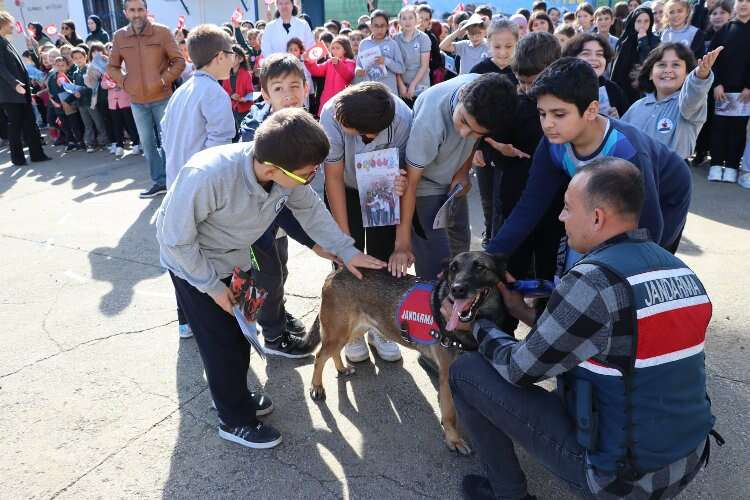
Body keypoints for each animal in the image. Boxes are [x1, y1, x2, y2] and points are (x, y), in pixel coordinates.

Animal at [306, 252, 512, 456]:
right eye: (453, 268)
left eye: (480, 267)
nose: (457, 289)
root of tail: (336, 272)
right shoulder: (447, 375)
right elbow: (450, 413)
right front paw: (453, 439)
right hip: (339, 332)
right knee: (320, 357)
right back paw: (317, 387)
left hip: (353, 330)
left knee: (333, 352)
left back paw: (341, 369)